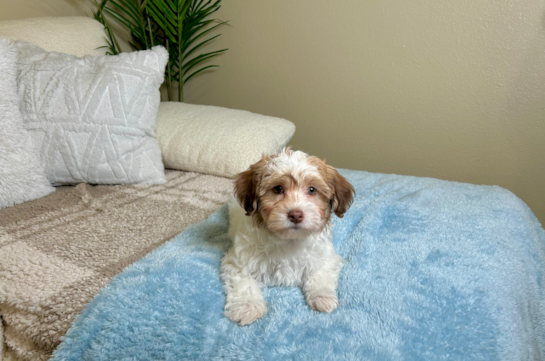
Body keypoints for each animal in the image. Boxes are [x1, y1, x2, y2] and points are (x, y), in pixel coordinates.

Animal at [219, 146, 354, 324]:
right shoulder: (237, 262)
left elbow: (319, 273)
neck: (289, 240)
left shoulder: (325, 257)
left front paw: (322, 297)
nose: (296, 215)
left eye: (312, 190)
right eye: (278, 189)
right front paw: (247, 307)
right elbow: (243, 282)